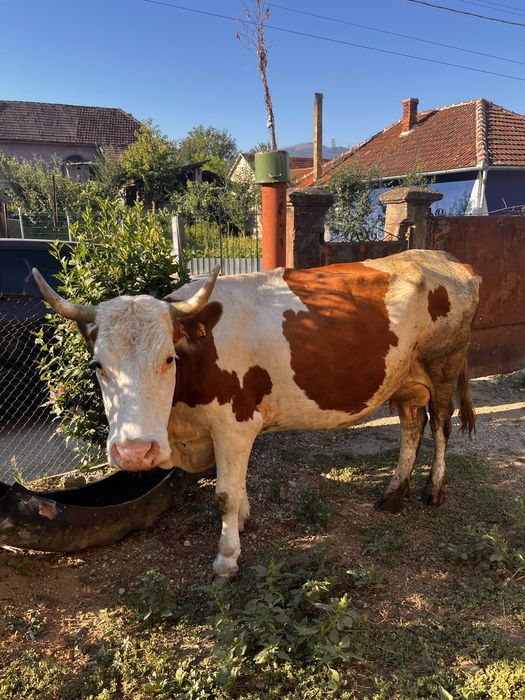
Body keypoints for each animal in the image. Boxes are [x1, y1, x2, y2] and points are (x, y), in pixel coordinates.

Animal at [33, 249, 480, 578]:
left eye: (168, 358)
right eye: (97, 365)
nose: (134, 452)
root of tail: (445, 259)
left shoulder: (234, 425)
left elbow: (225, 494)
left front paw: (227, 559)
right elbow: (239, 486)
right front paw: (244, 521)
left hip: (443, 368)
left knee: (441, 426)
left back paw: (433, 490)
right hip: (406, 381)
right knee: (411, 426)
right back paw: (393, 493)